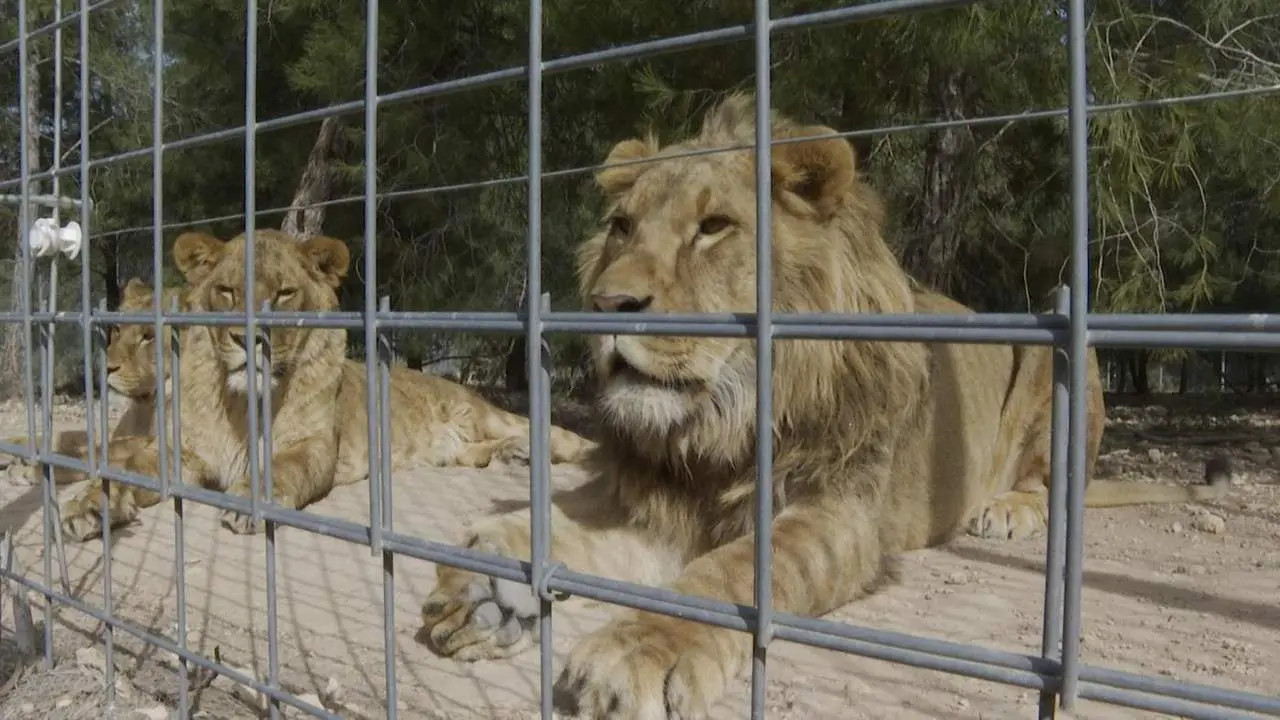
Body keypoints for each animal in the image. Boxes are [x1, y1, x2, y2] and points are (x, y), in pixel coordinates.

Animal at [60, 228, 596, 540]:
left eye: (284, 293)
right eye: (227, 291)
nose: (250, 337)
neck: (240, 404)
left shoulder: (312, 445)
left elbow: (279, 468)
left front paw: (247, 504)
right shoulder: (183, 454)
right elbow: (123, 469)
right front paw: (86, 507)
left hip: (484, 412)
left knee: (555, 434)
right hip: (448, 450)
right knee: (475, 452)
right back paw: (511, 457)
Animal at [419, 95, 1230, 719]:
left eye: (713, 228)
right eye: (621, 228)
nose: (607, 304)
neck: (721, 424)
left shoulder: (834, 512)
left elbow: (728, 575)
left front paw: (635, 651)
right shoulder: (649, 496)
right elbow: (548, 520)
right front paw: (483, 585)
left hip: (1062, 355)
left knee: (1059, 482)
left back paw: (1006, 510)